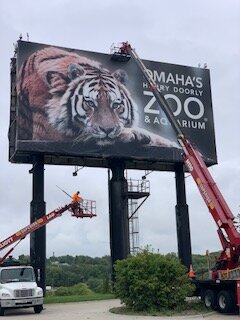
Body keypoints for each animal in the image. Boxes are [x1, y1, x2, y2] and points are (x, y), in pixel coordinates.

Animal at [16, 45, 179, 148]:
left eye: (116, 105)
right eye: (90, 103)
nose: (107, 130)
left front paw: (170, 144)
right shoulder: (48, 130)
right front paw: (134, 133)